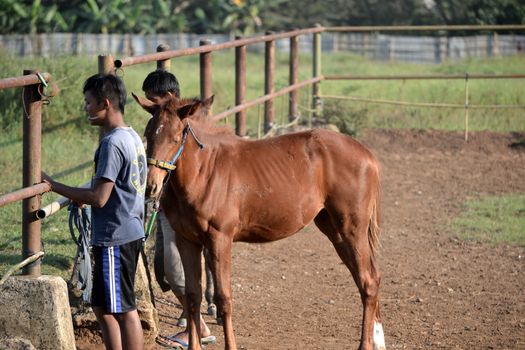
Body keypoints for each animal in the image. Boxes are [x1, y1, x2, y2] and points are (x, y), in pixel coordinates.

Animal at [133, 93, 382, 350]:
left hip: (352, 230)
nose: (151, 186)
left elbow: (224, 298)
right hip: (335, 231)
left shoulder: (220, 239)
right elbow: (193, 296)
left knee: (369, 282)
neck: (205, 171)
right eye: (148, 133)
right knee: (365, 280)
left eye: (175, 138)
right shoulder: (187, 240)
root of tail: (368, 156)